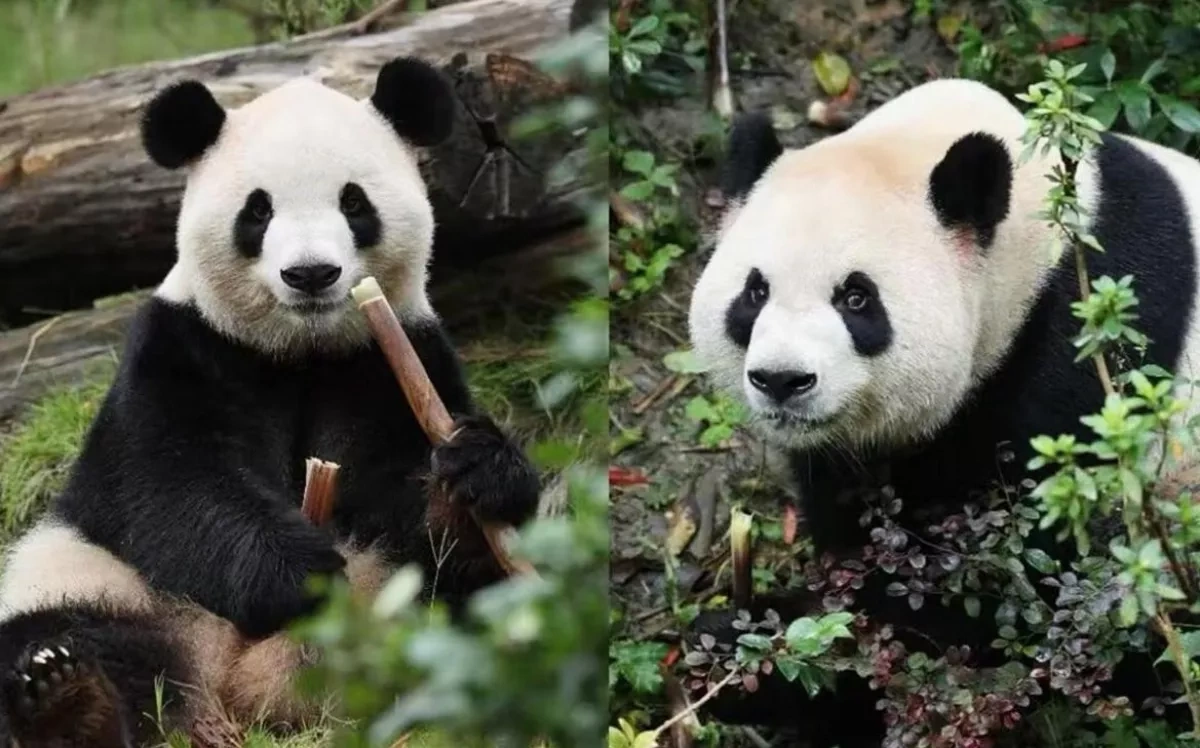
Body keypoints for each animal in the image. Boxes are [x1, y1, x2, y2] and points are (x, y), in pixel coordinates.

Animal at [0, 57, 541, 747]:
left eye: (353, 202)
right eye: (257, 211)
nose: (310, 274)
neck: (299, 352)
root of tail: (235, 690)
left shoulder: (391, 358)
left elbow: (401, 494)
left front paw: (474, 475)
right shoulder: (181, 348)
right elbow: (169, 483)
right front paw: (295, 572)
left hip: (395, 604)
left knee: (475, 604)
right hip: (97, 576)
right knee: (64, 631)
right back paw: (67, 699)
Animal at [686, 78, 1200, 746]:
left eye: (857, 298)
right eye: (755, 292)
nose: (781, 380)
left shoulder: (1085, 356)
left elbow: (991, 595)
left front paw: (768, 660)